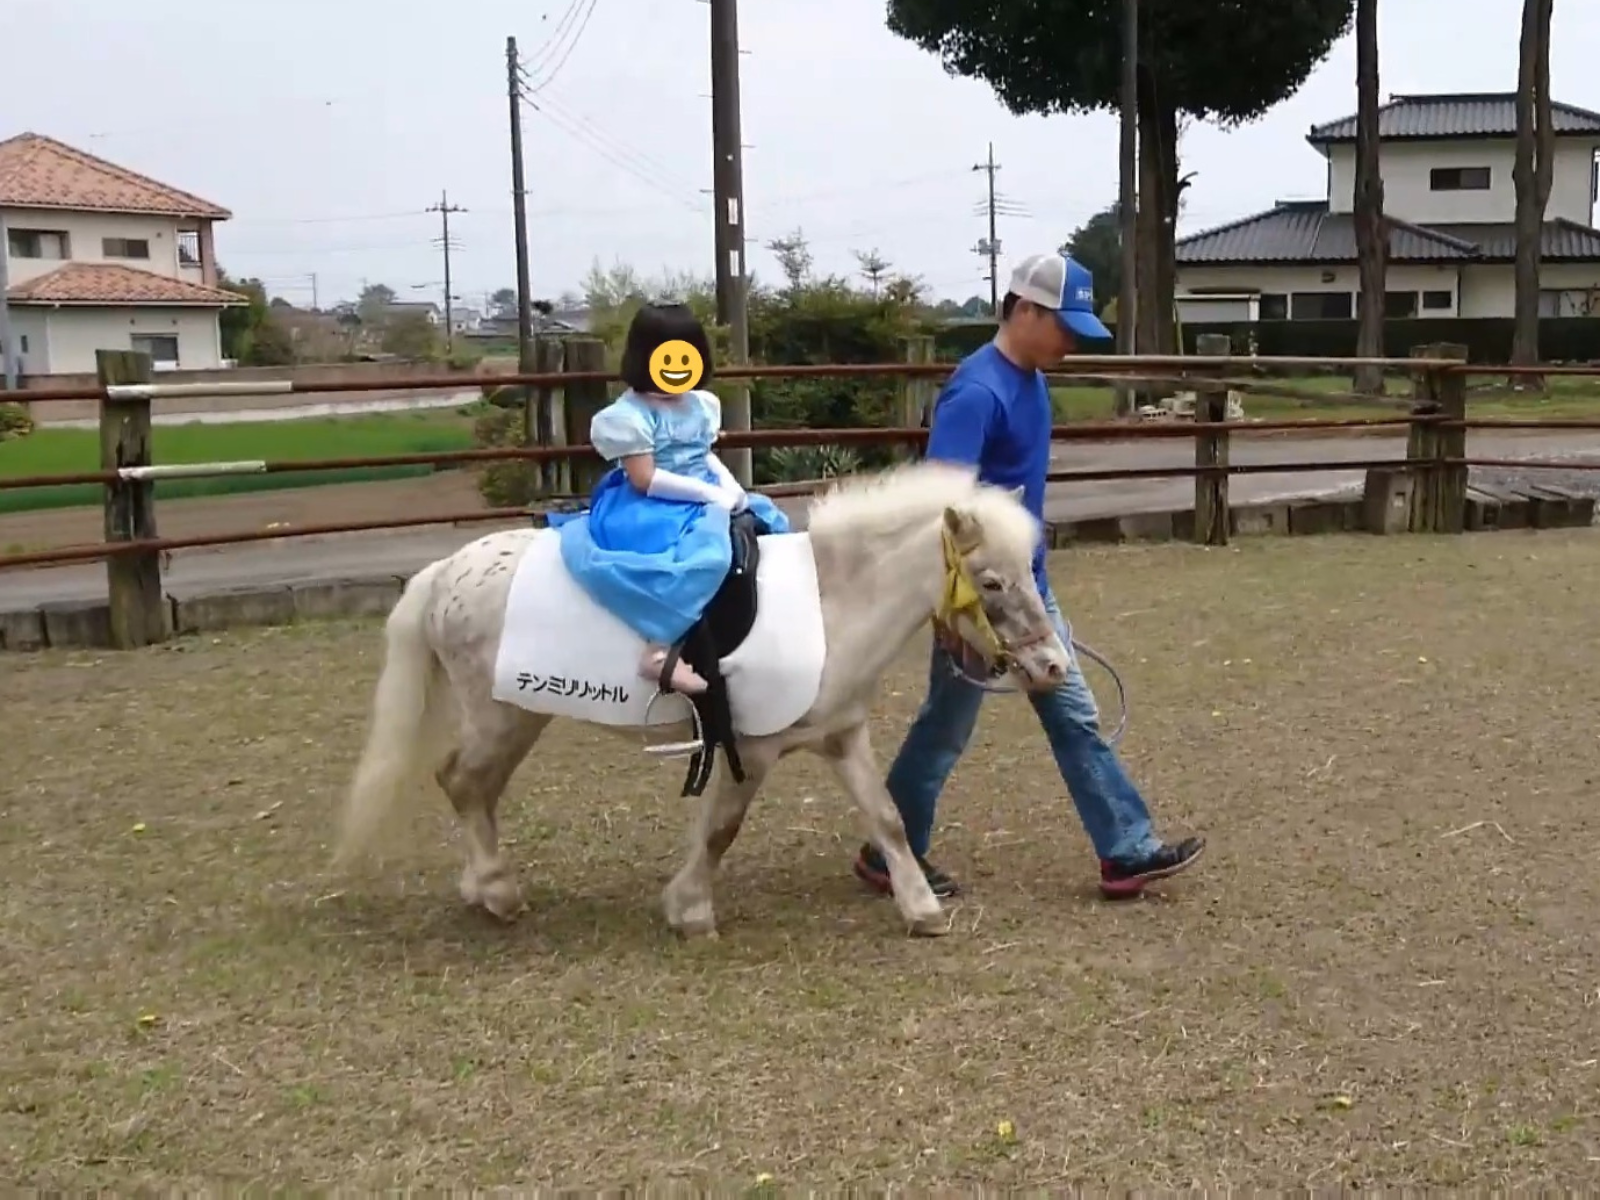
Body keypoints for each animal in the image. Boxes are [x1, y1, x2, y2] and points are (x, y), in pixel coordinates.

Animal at [335, 459, 1074, 938]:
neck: (833, 604)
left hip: (517, 718)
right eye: (991, 582)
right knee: (463, 782)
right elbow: (721, 828)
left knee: (474, 788)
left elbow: (887, 817)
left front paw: (921, 910)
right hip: (505, 716)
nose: (1052, 665)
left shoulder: (842, 737)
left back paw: (482, 889)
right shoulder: (755, 748)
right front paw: (689, 910)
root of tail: (444, 572)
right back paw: (498, 893)